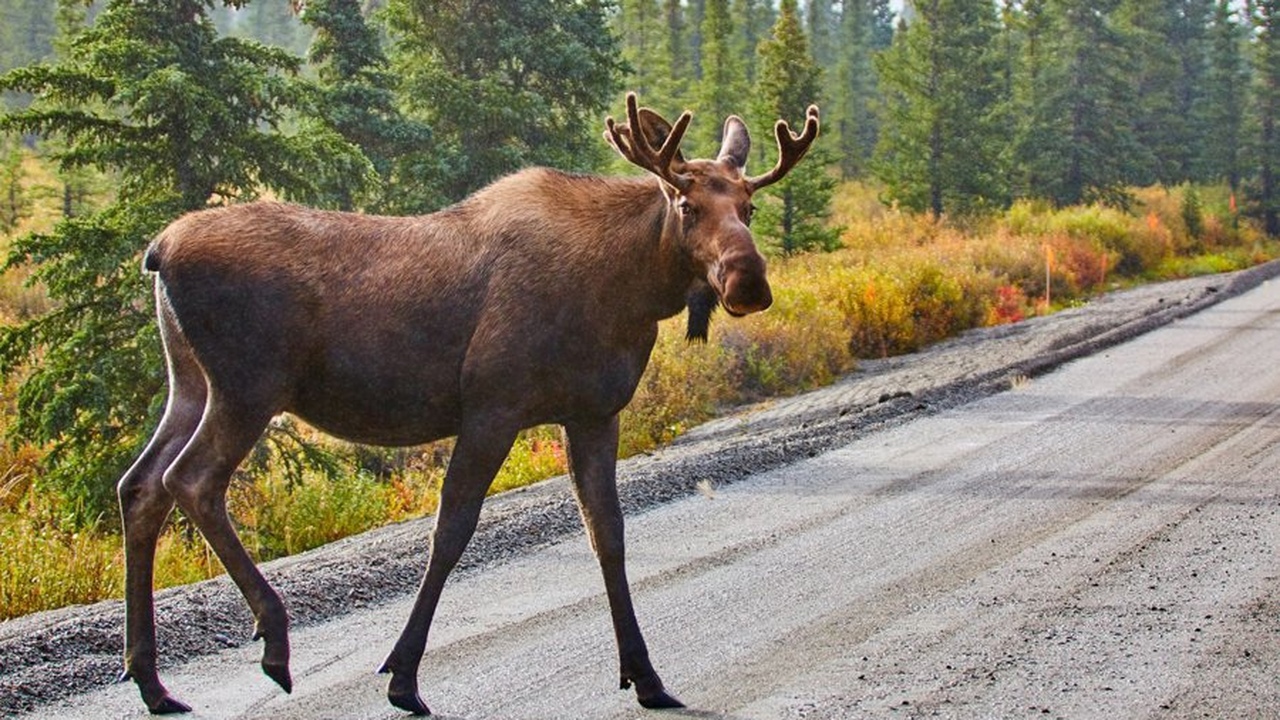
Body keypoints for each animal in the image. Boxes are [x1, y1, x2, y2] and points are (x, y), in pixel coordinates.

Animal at [120, 94, 819, 712]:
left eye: (750, 206)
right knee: (191, 480)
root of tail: (157, 251)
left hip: (190, 384)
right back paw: (272, 639)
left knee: (141, 485)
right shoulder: (492, 406)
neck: (628, 290)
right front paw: (402, 677)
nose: (748, 281)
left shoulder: (593, 413)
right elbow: (451, 531)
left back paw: (153, 683)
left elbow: (609, 534)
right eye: (686, 203)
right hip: (249, 387)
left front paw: (645, 676)